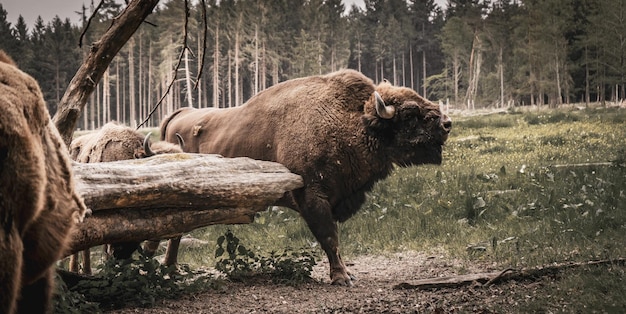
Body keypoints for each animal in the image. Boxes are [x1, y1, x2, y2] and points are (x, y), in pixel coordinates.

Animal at [161, 69, 450, 288]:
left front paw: (347, 274)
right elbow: (330, 238)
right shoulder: (312, 197)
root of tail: (179, 114)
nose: (447, 124)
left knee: (175, 233)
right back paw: (171, 270)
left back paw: (171, 270)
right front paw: (341, 278)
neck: (354, 121)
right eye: (410, 115)